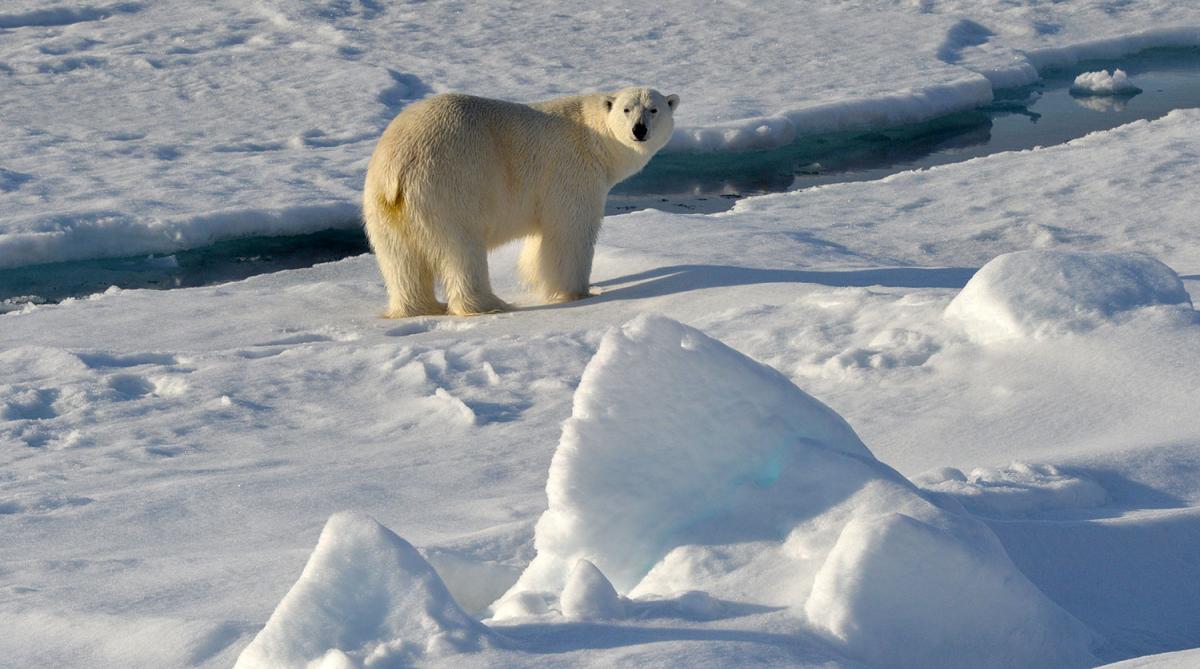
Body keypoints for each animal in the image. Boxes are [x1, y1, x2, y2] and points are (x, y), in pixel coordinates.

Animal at [360, 86, 676, 316]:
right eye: (626, 109)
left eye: (654, 109)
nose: (639, 129)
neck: (593, 138)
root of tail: (397, 167)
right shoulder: (572, 171)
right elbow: (570, 232)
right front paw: (579, 292)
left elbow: (540, 238)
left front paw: (536, 278)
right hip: (450, 187)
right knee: (462, 250)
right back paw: (489, 304)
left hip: (381, 205)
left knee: (400, 260)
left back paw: (418, 308)